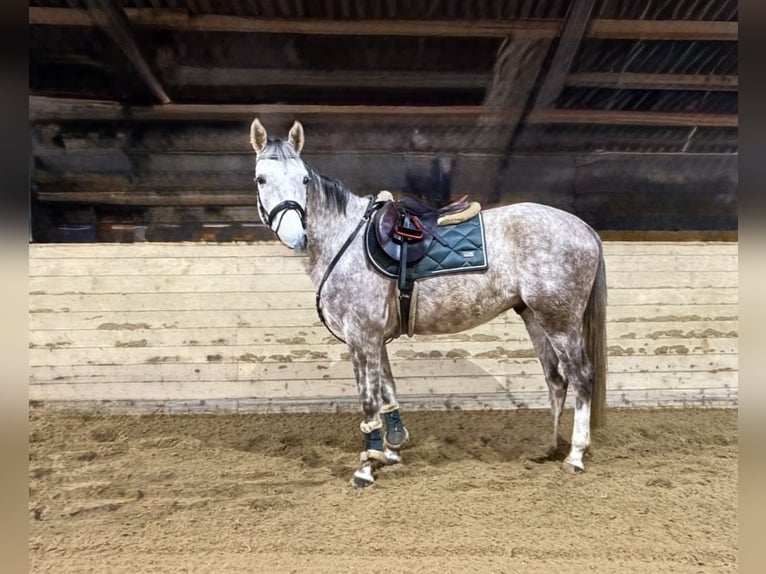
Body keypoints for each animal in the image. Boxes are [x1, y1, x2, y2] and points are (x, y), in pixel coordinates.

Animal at [248, 118, 607, 487]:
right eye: (261, 179)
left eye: (304, 179)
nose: (295, 235)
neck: (345, 240)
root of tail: (583, 227)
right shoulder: (375, 337)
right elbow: (387, 390)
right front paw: (389, 451)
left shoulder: (361, 336)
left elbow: (368, 399)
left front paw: (366, 466)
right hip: (535, 316)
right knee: (556, 379)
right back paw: (549, 448)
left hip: (560, 320)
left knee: (581, 376)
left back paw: (575, 455)